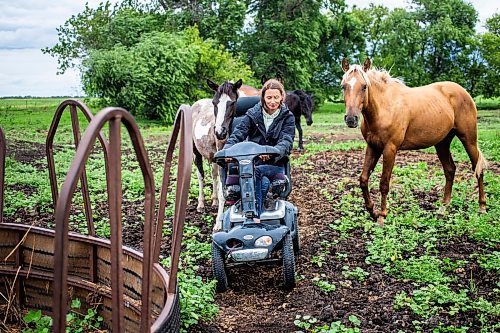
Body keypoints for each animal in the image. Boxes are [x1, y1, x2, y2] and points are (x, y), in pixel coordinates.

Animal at [191, 78, 244, 228]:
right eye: (215, 103)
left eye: (232, 102)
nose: (219, 133)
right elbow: (223, 191)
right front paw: (218, 224)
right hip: (196, 153)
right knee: (201, 176)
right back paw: (201, 204)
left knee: (213, 175)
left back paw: (214, 201)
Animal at [342, 57, 486, 226]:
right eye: (343, 86)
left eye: (364, 86)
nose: (351, 119)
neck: (385, 107)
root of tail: (464, 92)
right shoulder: (372, 147)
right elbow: (363, 179)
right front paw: (372, 211)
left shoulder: (390, 149)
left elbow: (384, 183)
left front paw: (382, 216)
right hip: (442, 144)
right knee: (450, 170)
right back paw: (443, 208)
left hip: (469, 140)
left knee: (478, 168)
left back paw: (482, 207)